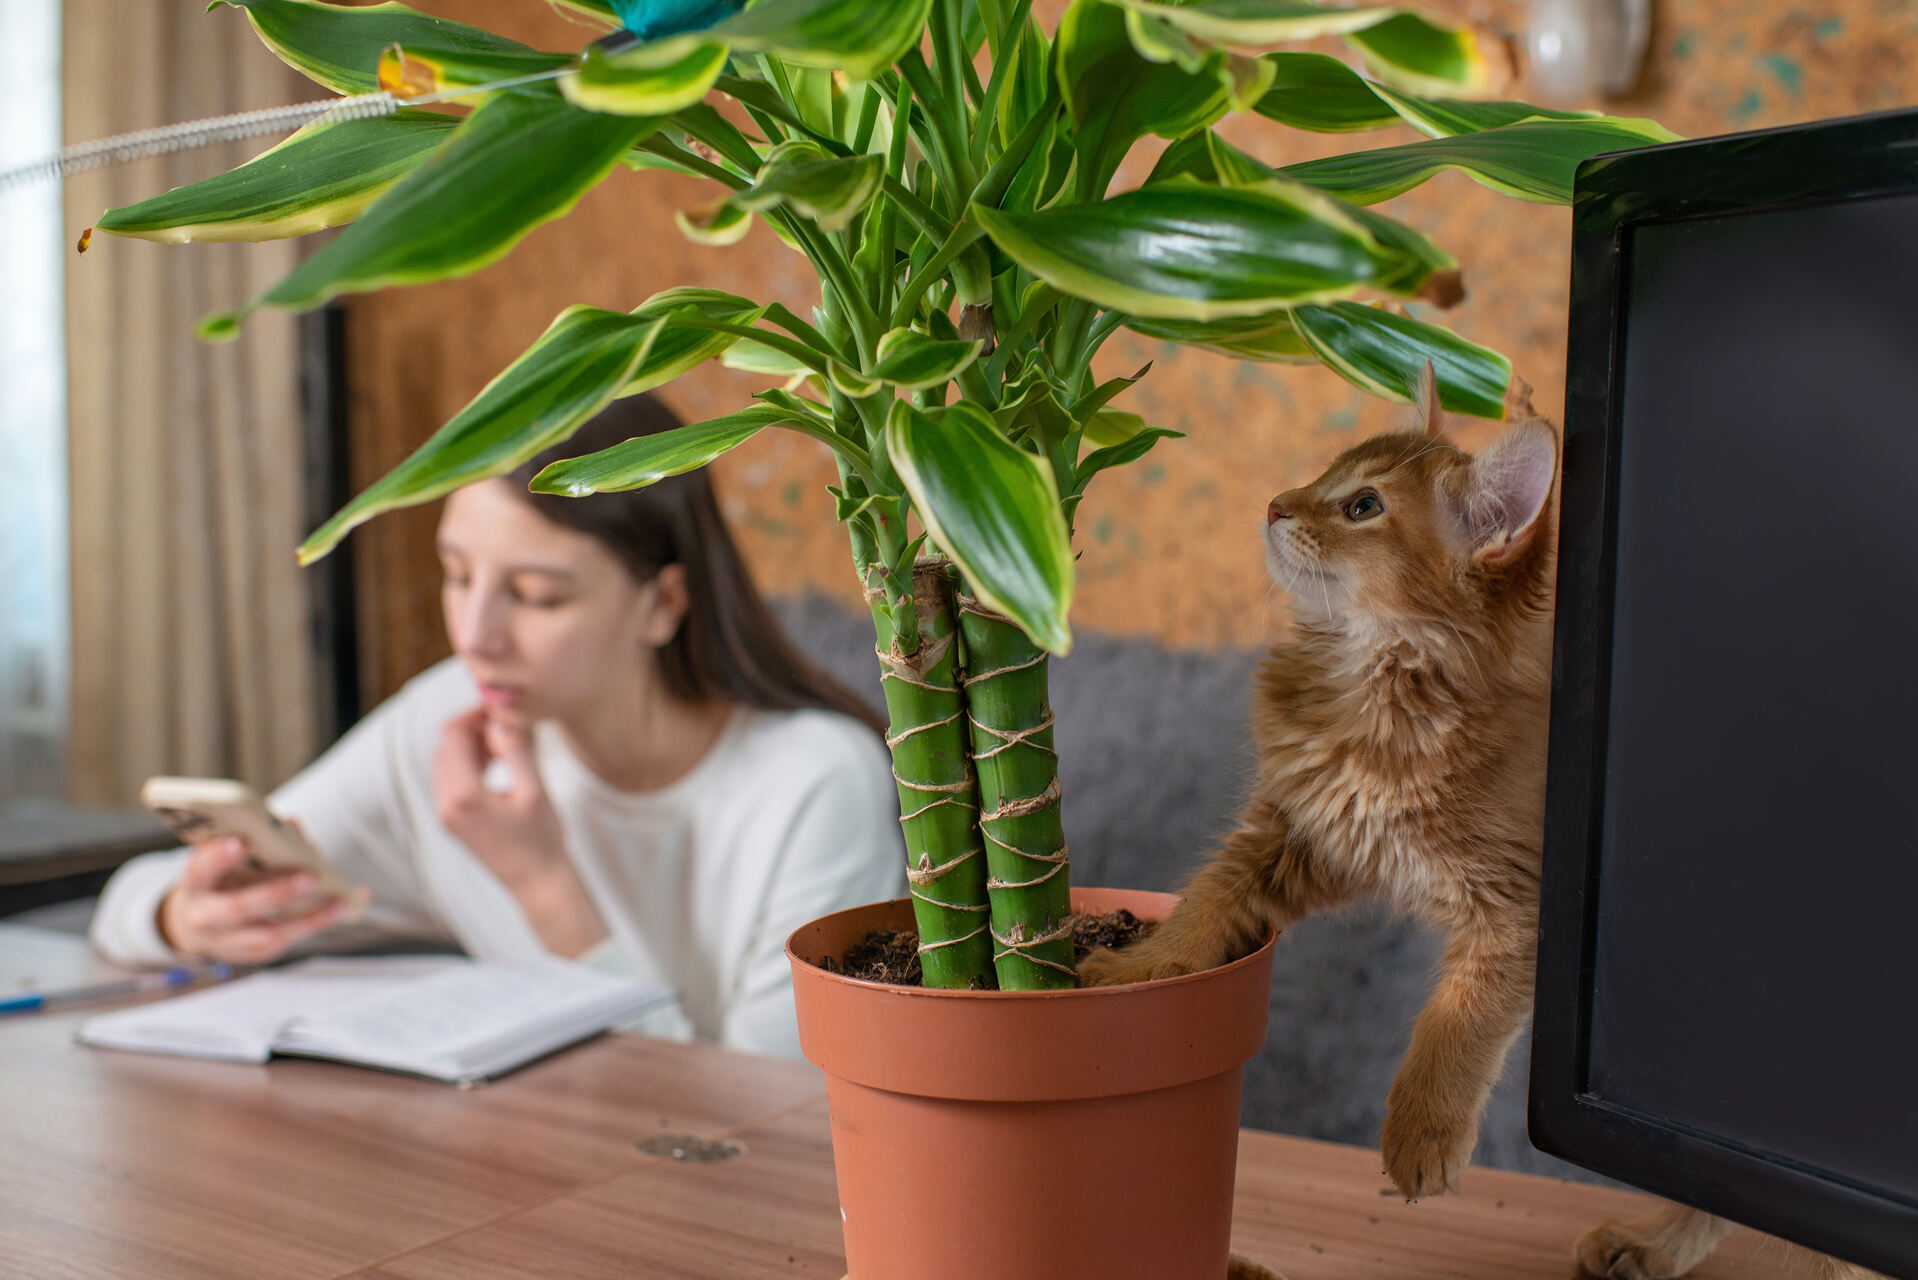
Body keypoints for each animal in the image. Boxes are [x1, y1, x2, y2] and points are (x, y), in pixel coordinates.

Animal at [1081, 370, 1887, 1280]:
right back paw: (1647, 1247)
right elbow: (1205, 904)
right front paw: (1137, 968)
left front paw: (1419, 1135)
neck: (1381, 689)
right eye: (1326, 473)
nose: (1275, 505)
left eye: (1362, 505)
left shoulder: (1518, 914)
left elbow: (1453, 1023)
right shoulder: (1299, 833)